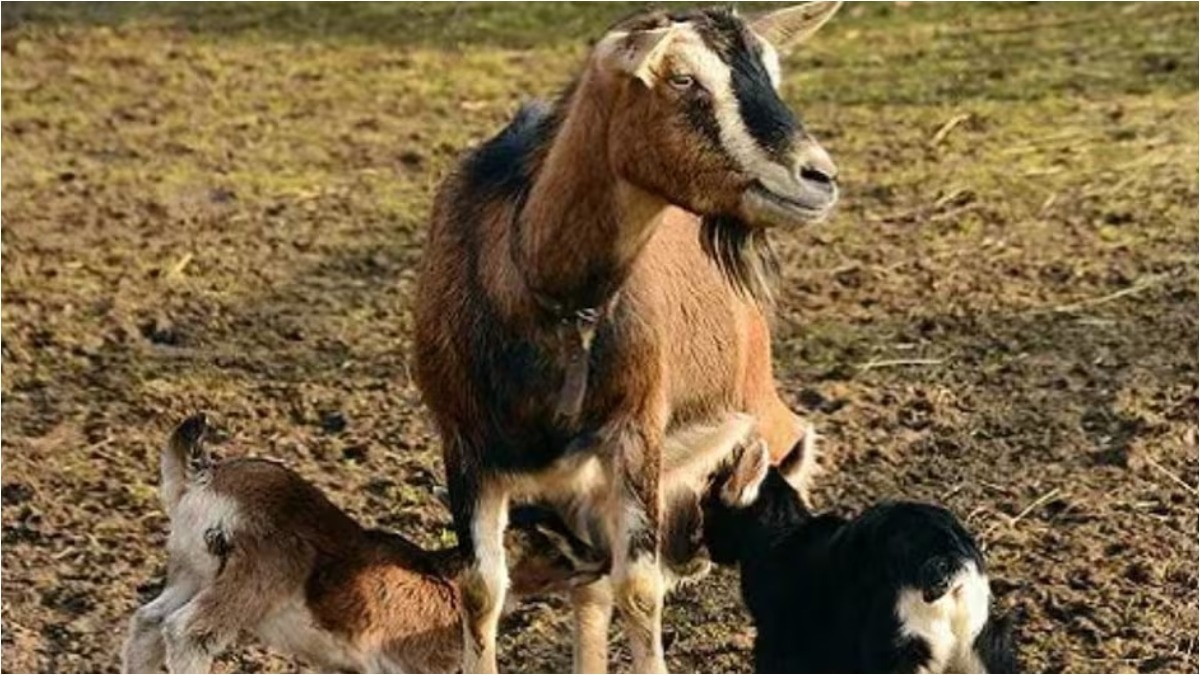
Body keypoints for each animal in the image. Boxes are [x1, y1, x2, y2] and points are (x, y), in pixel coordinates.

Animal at [121, 414, 607, 674]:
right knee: (188, 631)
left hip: (192, 571)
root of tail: (203, 478)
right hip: (258, 574)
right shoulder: (415, 664)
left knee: (148, 621)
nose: (600, 560)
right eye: (549, 545)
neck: (446, 583)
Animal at [413, 3, 842, 671]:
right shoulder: (465, 445)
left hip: (755, 416)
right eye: (682, 78)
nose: (818, 176)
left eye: (771, 72)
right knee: (589, 588)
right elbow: (482, 589)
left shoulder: (637, 432)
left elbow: (638, 589)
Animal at [702, 439, 1019, 674]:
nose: (708, 548)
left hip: (898, 646)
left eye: (708, 504)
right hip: (981, 646)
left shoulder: (778, 638)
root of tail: (946, 554)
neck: (781, 536)